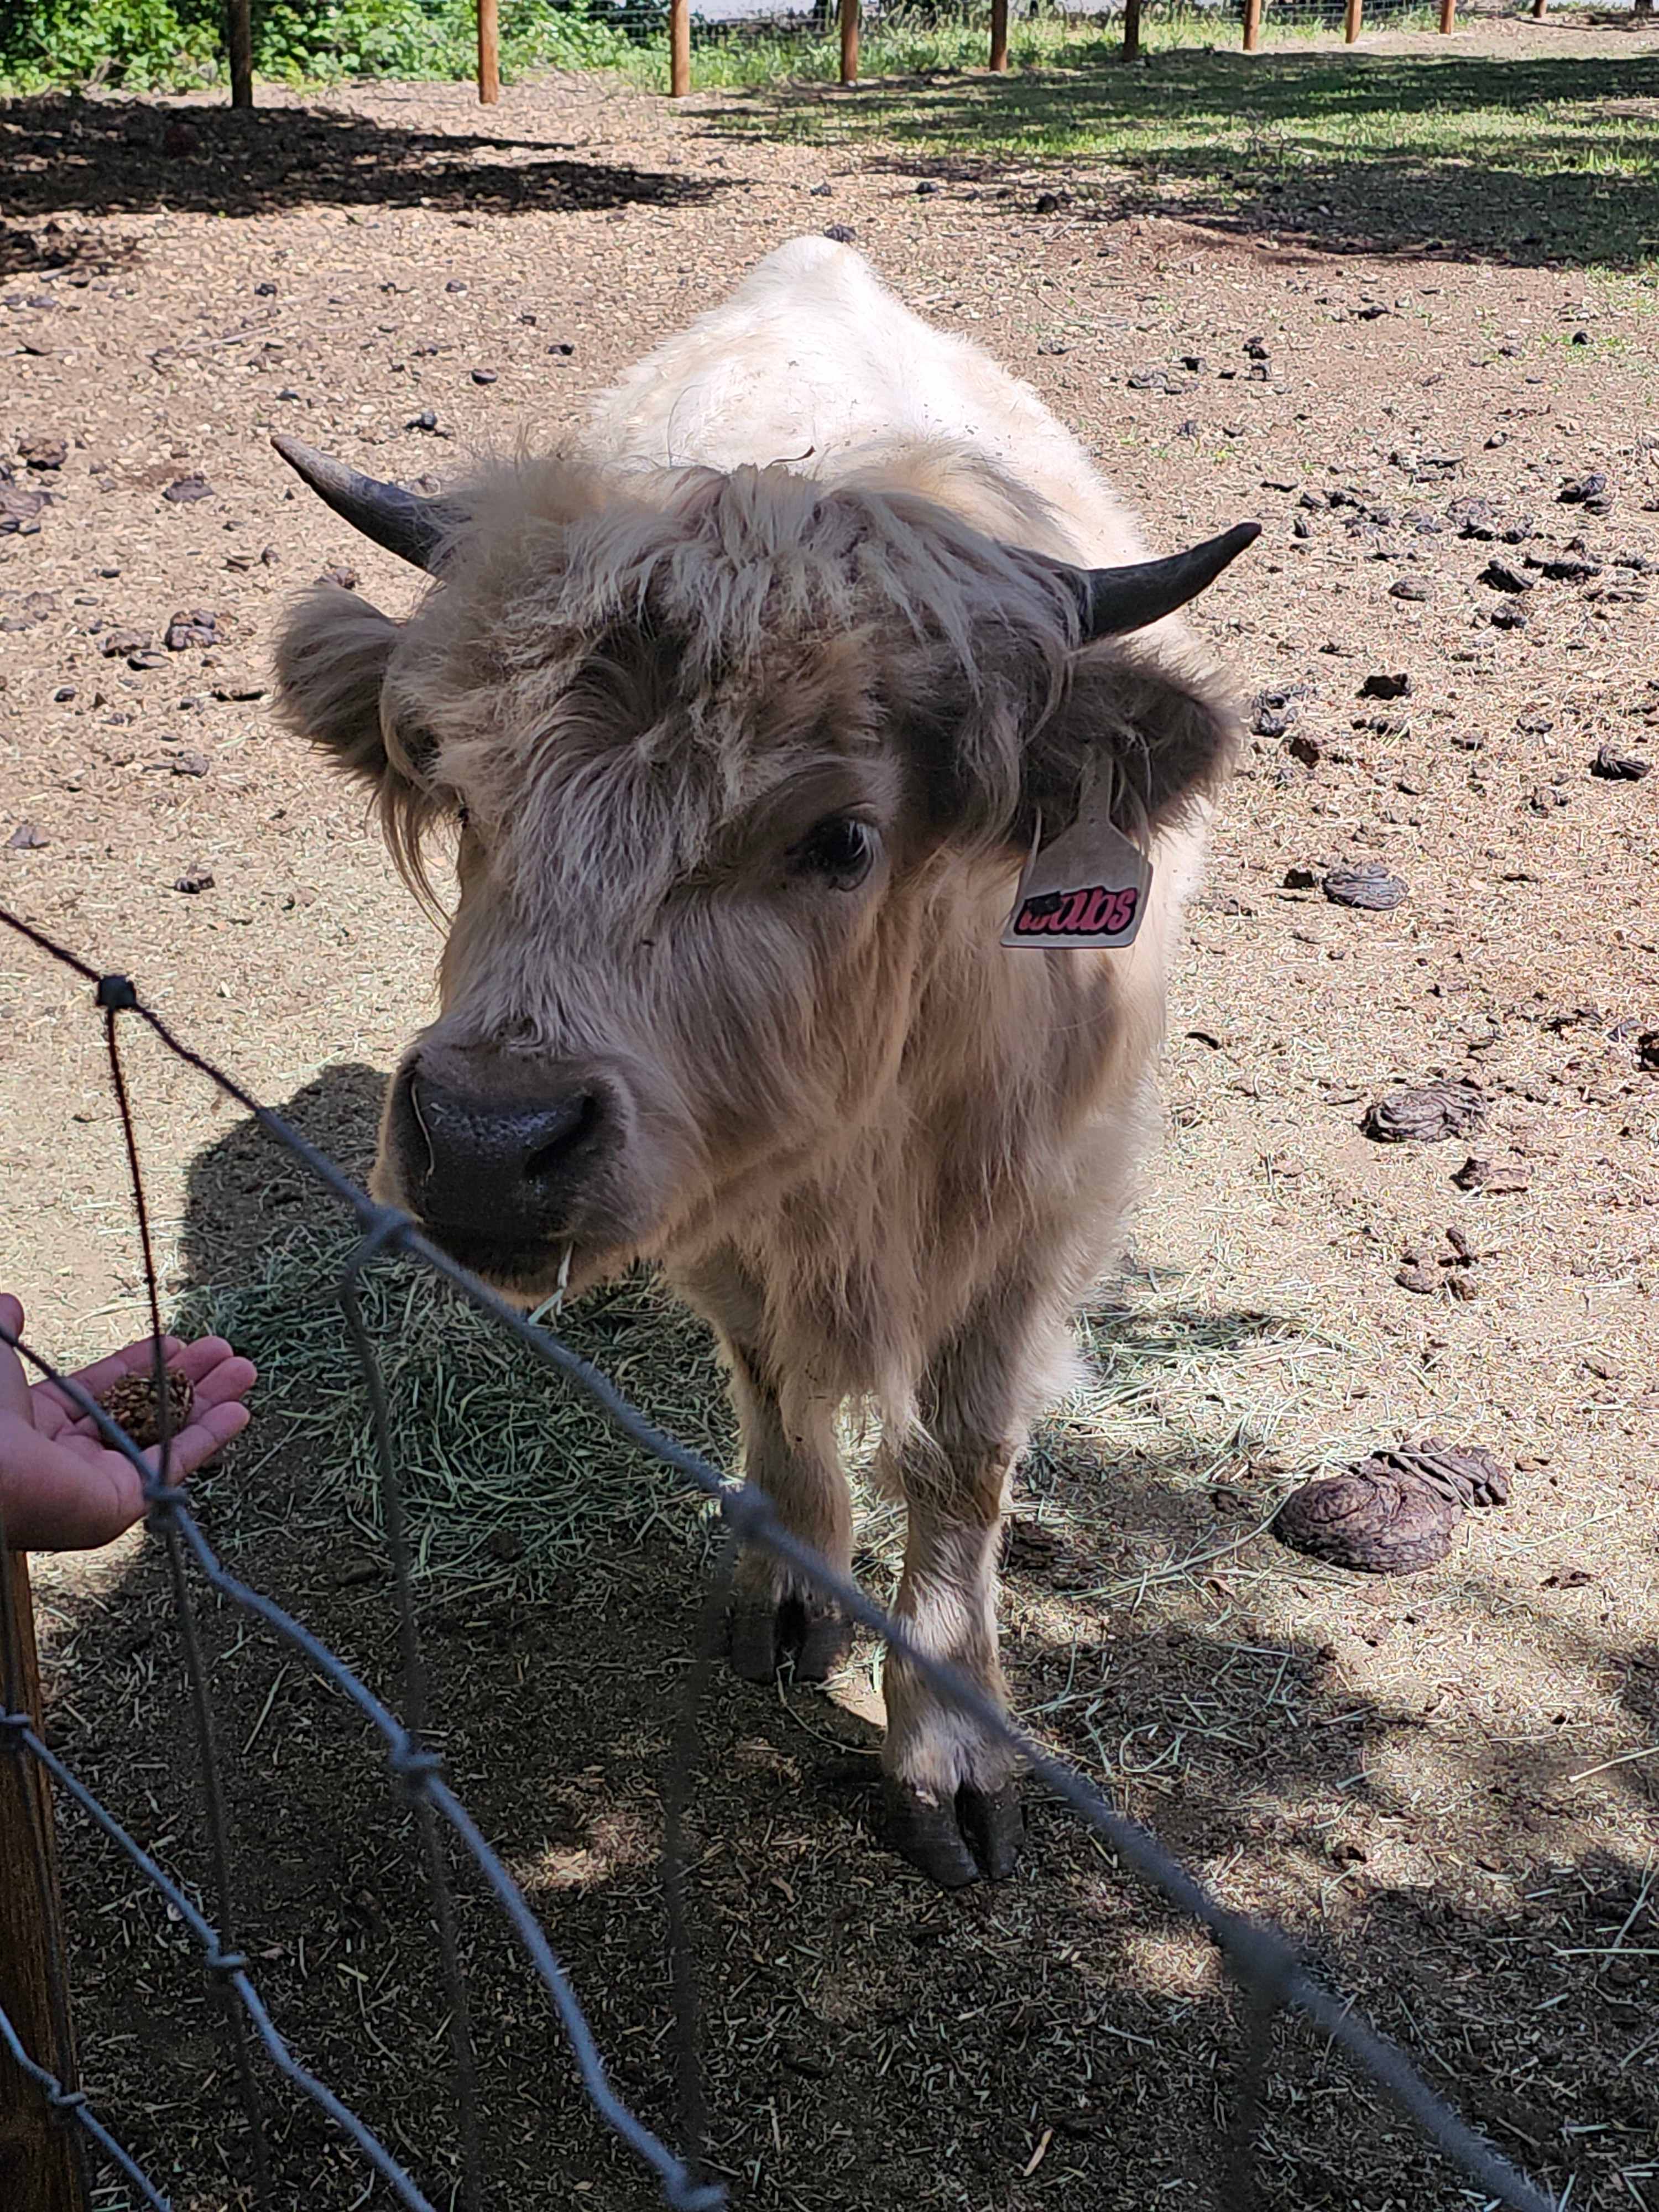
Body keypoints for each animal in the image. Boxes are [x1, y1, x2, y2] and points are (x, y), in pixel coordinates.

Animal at [271, 237, 1254, 1887]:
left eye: (840, 837)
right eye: (463, 793)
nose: (484, 1138)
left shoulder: (1039, 1211)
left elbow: (963, 1459)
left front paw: (951, 1744)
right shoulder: (721, 1201)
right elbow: (776, 1382)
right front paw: (792, 1585)